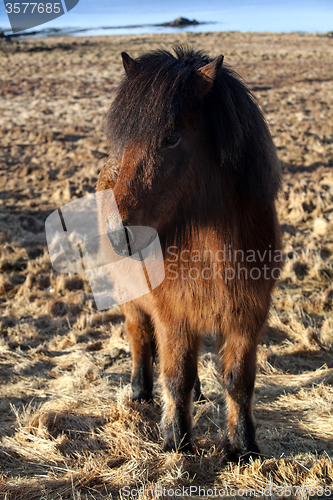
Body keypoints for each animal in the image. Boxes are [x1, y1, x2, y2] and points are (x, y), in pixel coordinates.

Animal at [96, 47, 280, 460]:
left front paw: (244, 446)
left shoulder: (247, 316)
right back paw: (140, 391)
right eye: (125, 139)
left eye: (172, 138)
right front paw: (176, 442)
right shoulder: (172, 315)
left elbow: (238, 380)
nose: (119, 233)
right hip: (131, 299)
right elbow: (176, 376)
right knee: (139, 337)